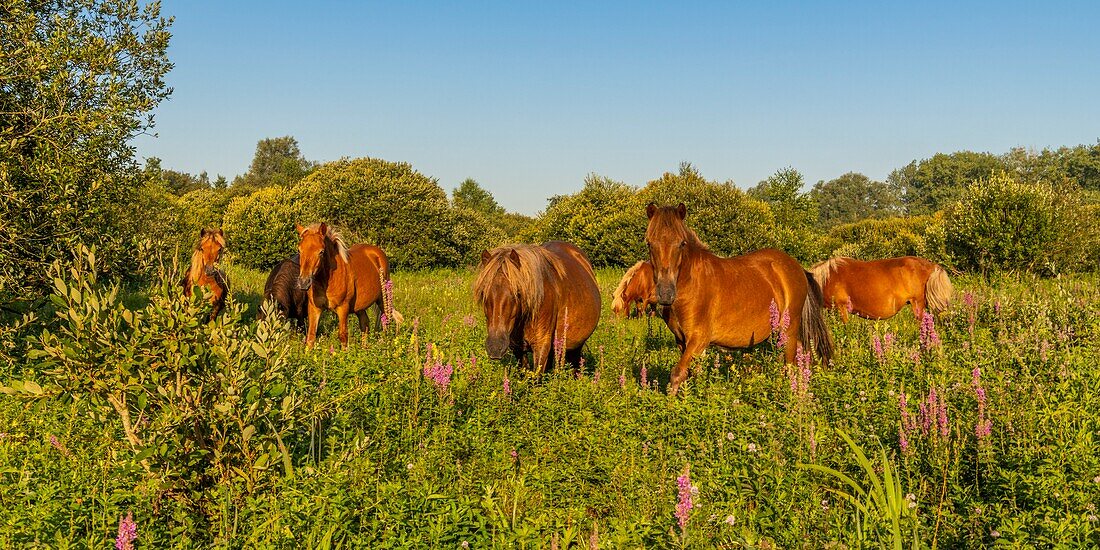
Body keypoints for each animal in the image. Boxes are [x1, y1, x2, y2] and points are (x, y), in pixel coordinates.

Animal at [642, 203, 831, 396]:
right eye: (649, 243)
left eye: (682, 243)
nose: (665, 293)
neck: (690, 283)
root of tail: (797, 267)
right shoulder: (682, 341)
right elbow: (692, 374)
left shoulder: (699, 339)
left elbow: (677, 374)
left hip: (789, 330)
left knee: (789, 364)